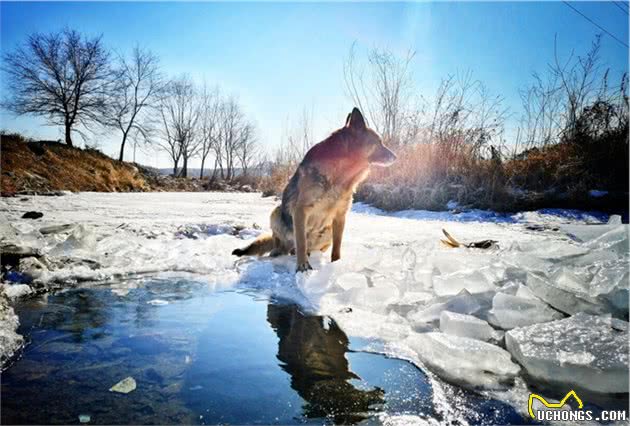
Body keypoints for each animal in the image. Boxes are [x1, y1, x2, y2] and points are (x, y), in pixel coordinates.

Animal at [235, 108, 398, 272]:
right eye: (378, 142)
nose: (396, 157)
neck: (340, 173)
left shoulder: (340, 216)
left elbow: (337, 247)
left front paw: (336, 264)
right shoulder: (300, 210)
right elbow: (301, 241)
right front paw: (302, 267)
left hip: (328, 230)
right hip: (276, 213)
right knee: (282, 244)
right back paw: (279, 251)